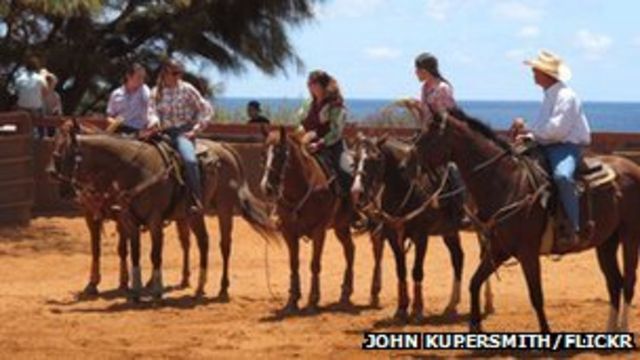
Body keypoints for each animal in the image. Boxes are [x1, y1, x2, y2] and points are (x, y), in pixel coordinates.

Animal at [49, 122, 276, 302]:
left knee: (224, 245)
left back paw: (222, 289)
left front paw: (154, 290)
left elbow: (153, 254)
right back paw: (198, 286)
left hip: (224, 208)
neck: (135, 169)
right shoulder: (124, 219)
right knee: (201, 242)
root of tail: (225, 148)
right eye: (55, 152)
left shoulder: (154, 219)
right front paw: (132, 290)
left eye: (68, 155)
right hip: (193, 214)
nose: (61, 187)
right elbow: (130, 253)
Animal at [260, 128, 360, 314]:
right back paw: (345, 292)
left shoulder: (319, 231)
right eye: (263, 154)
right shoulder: (288, 232)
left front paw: (313, 300)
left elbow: (314, 264)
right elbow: (294, 263)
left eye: (280, 154)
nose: (266, 188)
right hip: (341, 227)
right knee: (350, 250)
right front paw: (292, 300)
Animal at [350, 134, 496, 320]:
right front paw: (402, 308)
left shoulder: (421, 236)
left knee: (484, 255)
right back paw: (451, 304)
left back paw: (488, 303)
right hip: (449, 232)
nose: (357, 192)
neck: (406, 186)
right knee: (458, 258)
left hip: (483, 228)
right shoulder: (393, 236)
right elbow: (401, 270)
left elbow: (417, 271)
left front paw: (417, 309)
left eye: (376, 158)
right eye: (354, 159)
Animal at [410, 108, 640, 334]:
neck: (507, 183)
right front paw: (475, 325)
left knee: (628, 283)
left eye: (429, 134)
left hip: (630, 237)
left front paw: (547, 335)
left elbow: (537, 297)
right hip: (607, 241)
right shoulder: (499, 250)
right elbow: (474, 282)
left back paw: (624, 330)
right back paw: (610, 332)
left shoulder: (527, 253)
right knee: (614, 283)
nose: (409, 160)